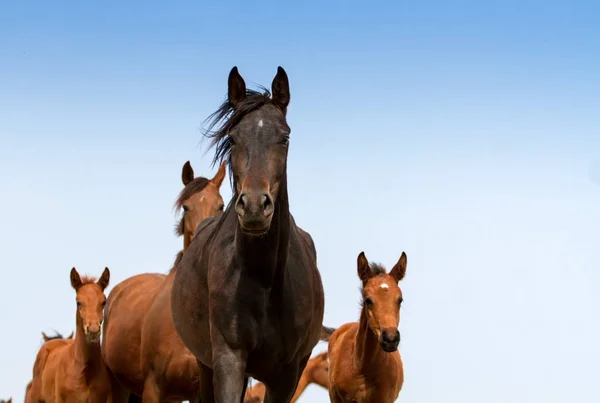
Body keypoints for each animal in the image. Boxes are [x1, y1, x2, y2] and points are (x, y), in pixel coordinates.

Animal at [171, 64, 336, 402]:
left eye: (284, 137)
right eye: (233, 138)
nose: (255, 206)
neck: (265, 281)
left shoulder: (287, 374)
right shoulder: (228, 361)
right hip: (204, 365)